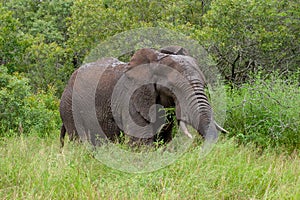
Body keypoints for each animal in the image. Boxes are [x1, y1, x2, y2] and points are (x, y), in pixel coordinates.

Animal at [59, 46, 227, 147]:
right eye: (173, 89)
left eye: (204, 85)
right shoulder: (131, 102)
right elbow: (141, 144)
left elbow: (164, 141)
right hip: (69, 109)